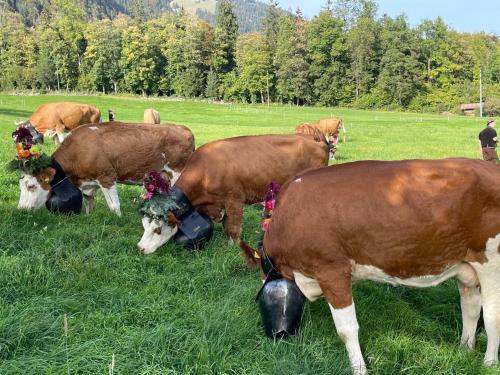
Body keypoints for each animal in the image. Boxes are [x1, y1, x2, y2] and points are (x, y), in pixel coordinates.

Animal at [240, 159, 498, 375]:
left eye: (263, 297)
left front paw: (359, 369)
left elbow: (347, 329)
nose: (278, 336)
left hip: (492, 264)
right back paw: (465, 349)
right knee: (471, 308)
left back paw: (489, 363)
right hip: (467, 266)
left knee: (492, 315)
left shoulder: (332, 271)